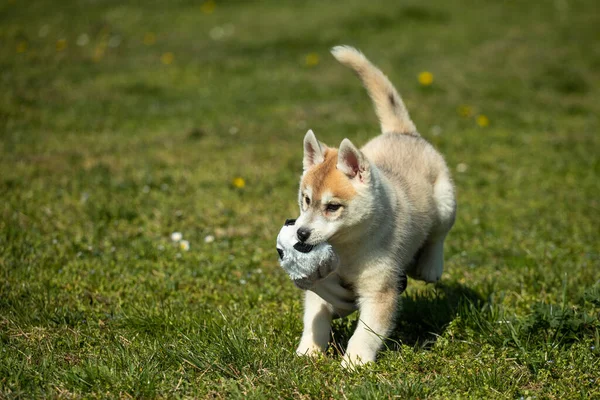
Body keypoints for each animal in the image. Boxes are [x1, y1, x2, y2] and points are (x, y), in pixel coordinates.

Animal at [294, 45, 454, 368]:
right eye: (306, 200)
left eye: (332, 207)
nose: (301, 234)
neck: (347, 248)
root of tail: (402, 132)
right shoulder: (322, 284)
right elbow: (315, 317)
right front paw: (309, 351)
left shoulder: (380, 289)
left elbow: (367, 331)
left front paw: (354, 362)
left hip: (445, 203)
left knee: (438, 234)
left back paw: (430, 265)